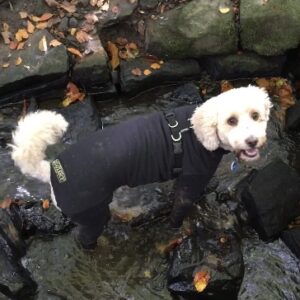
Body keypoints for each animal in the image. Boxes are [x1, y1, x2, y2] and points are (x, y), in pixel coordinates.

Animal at [10, 86, 272, 248]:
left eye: (255, 115)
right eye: (231, 121)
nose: (252, 141)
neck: (197, 131)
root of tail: (52, 170)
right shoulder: (190, 181)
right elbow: (178, 213)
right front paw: (176, 229)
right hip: (92, 215)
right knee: (83, 240)